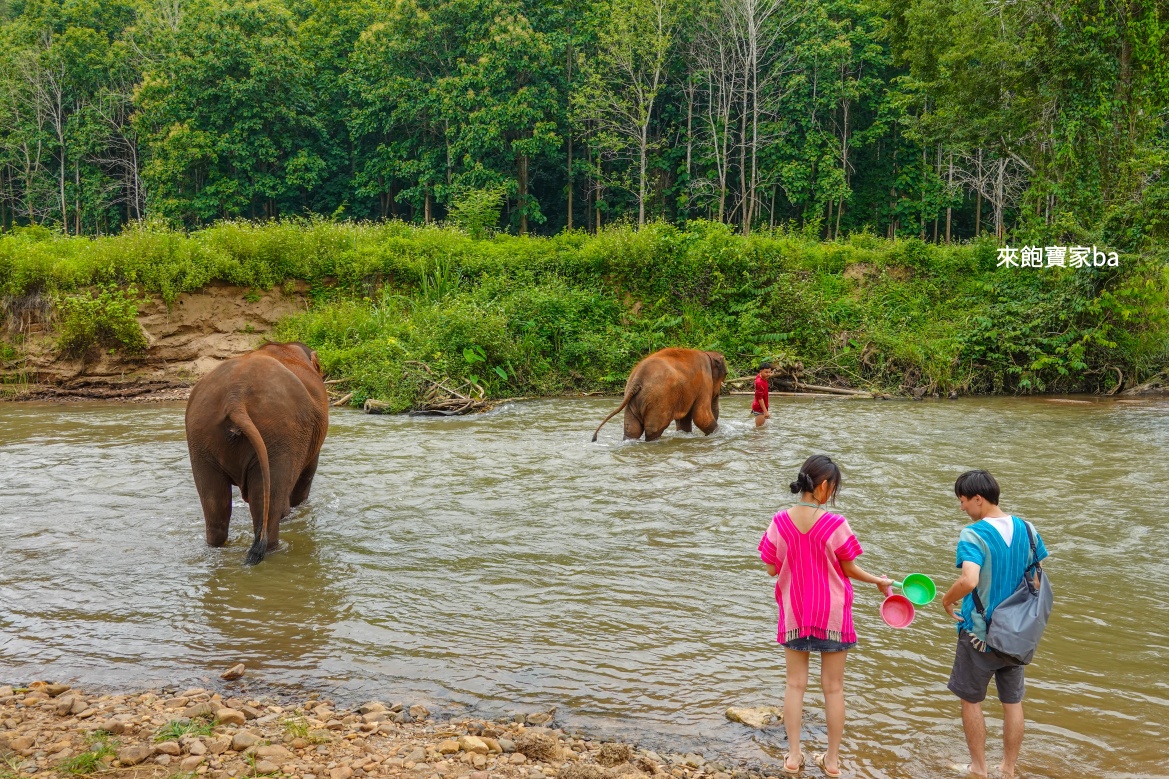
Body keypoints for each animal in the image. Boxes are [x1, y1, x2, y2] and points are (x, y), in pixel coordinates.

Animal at [185, 341, 329, 564]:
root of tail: (235, 397)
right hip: (280, 437)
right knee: (269, 508)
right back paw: (272, 550)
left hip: (200, 437)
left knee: (215, 506)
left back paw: (216, 548)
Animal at [592, 348, 728, 442]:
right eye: (725, 374)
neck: (707, 354)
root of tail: (637, 380)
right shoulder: (705, 382)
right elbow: (701, 416)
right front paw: (718, 434)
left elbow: (684, 420)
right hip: (659, 401)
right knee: (654, 429)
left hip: (633, 401)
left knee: (632, 430)